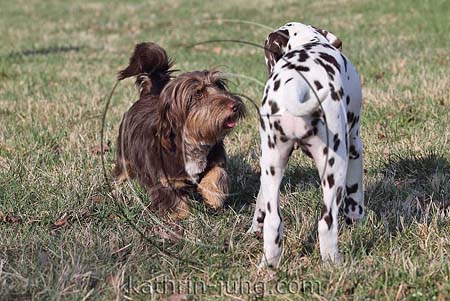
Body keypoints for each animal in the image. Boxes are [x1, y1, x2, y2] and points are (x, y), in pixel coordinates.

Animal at [112, 42, 246, 218]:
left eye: (219, 85)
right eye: (198, 93)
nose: (235, 105)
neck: (193, 139)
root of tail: (147, 96)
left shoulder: (216, 159)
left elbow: (217, 174)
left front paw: (213, 197)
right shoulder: (165, 180)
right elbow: (174, 201)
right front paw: (180, 216)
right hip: (125, 157)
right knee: (121, 173)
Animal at [250, 22, 366, 266]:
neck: (308, 42)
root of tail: (296, 86)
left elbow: (260, 201)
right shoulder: (354, 147)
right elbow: (356, 196)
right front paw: (356, 221)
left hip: (272, 164)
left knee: (274, 222)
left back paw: (268, 265)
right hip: (334, 169)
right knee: (326, 223)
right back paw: (334, 265)